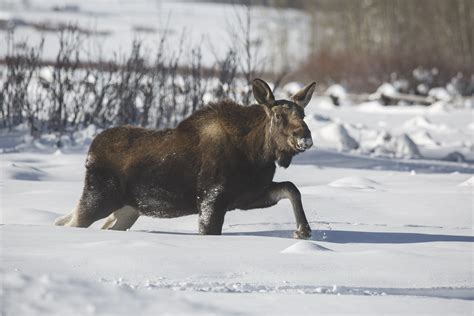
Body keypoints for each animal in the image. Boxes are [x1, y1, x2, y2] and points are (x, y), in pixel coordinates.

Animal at [54, 79, 314, 239]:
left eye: (302, 114)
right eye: (278, 116)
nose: (306, 137)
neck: (257, 154)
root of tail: (90, 152)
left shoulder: (248, 195)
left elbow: (291, 188)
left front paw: (303, 231)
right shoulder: (212, 198)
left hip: (127, 209)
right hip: (98, 198)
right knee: (68, 222)